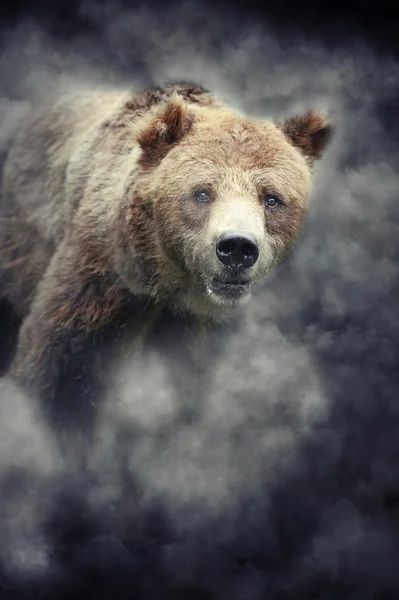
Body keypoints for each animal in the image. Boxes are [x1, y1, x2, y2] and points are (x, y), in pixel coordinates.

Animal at [0, 79, 332, 436]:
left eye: (271, 198)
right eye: (202, 192)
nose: (237, 248)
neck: (166, 282)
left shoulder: (198, 330)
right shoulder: (98, 280)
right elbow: (60, 367)